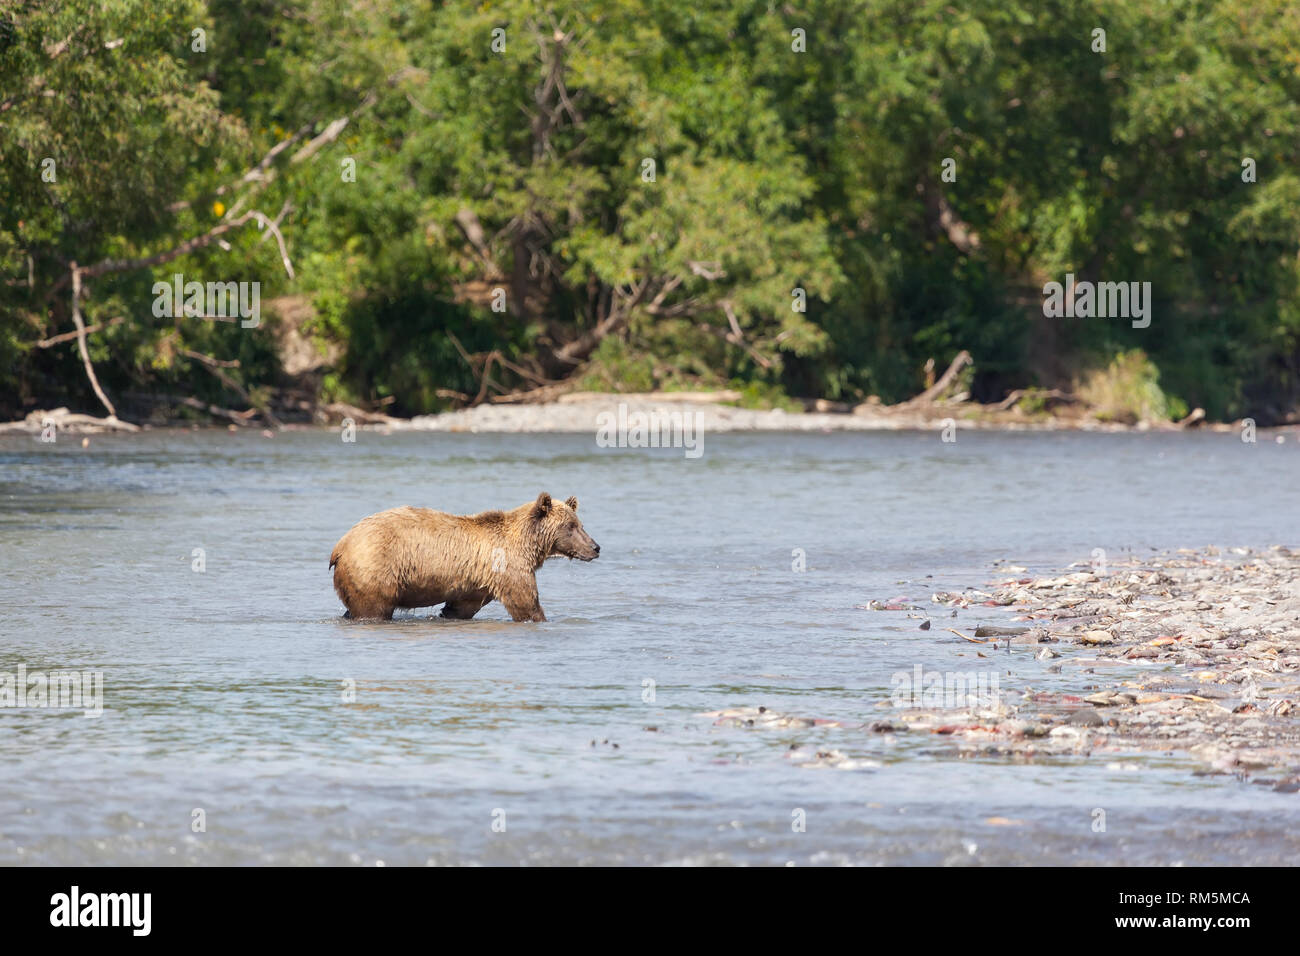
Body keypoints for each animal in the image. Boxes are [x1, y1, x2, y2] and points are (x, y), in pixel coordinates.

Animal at [332, 494, 600, 621]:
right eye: (570, 526)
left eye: (580, 524)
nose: (595, 547)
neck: (527, 545)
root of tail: (340, 545)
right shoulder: (509, 568)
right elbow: (525, 603)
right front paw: (541, 617)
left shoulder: (475, 585)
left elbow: (460, 607)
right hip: (376, 568)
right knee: (373, 608)